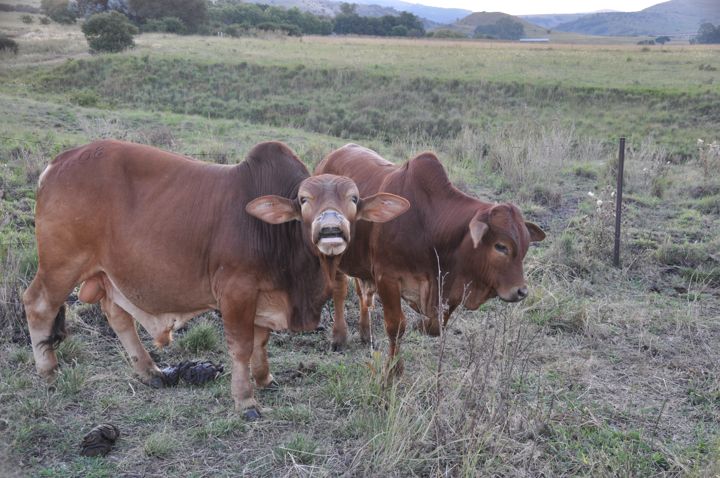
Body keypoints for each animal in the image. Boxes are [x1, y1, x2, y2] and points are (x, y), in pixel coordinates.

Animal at [23, 139, 409, 419]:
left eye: (353, 198)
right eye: (304, 200)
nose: (330, 228)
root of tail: (59, 162)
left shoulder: (263, 293)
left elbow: (261, 341)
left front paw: (265, 379)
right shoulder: (236, 292)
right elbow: (240, 346)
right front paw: (246, 401)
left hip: (108, 274)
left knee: (118, 315)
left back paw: (151, 372)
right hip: (62, 264)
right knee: (38, 304)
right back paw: (49, 372)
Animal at [315, 144, 545, 376]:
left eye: (525, 247)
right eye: (501, 246)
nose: (521, 291)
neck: (429, 226)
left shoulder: (446, 288)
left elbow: (436, 326)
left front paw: (419, 326)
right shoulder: (387, 278)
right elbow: (396, 326)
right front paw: (394, 370)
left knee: (364, 293)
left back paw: (365, 332)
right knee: (340, 291)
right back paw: (339, 337)